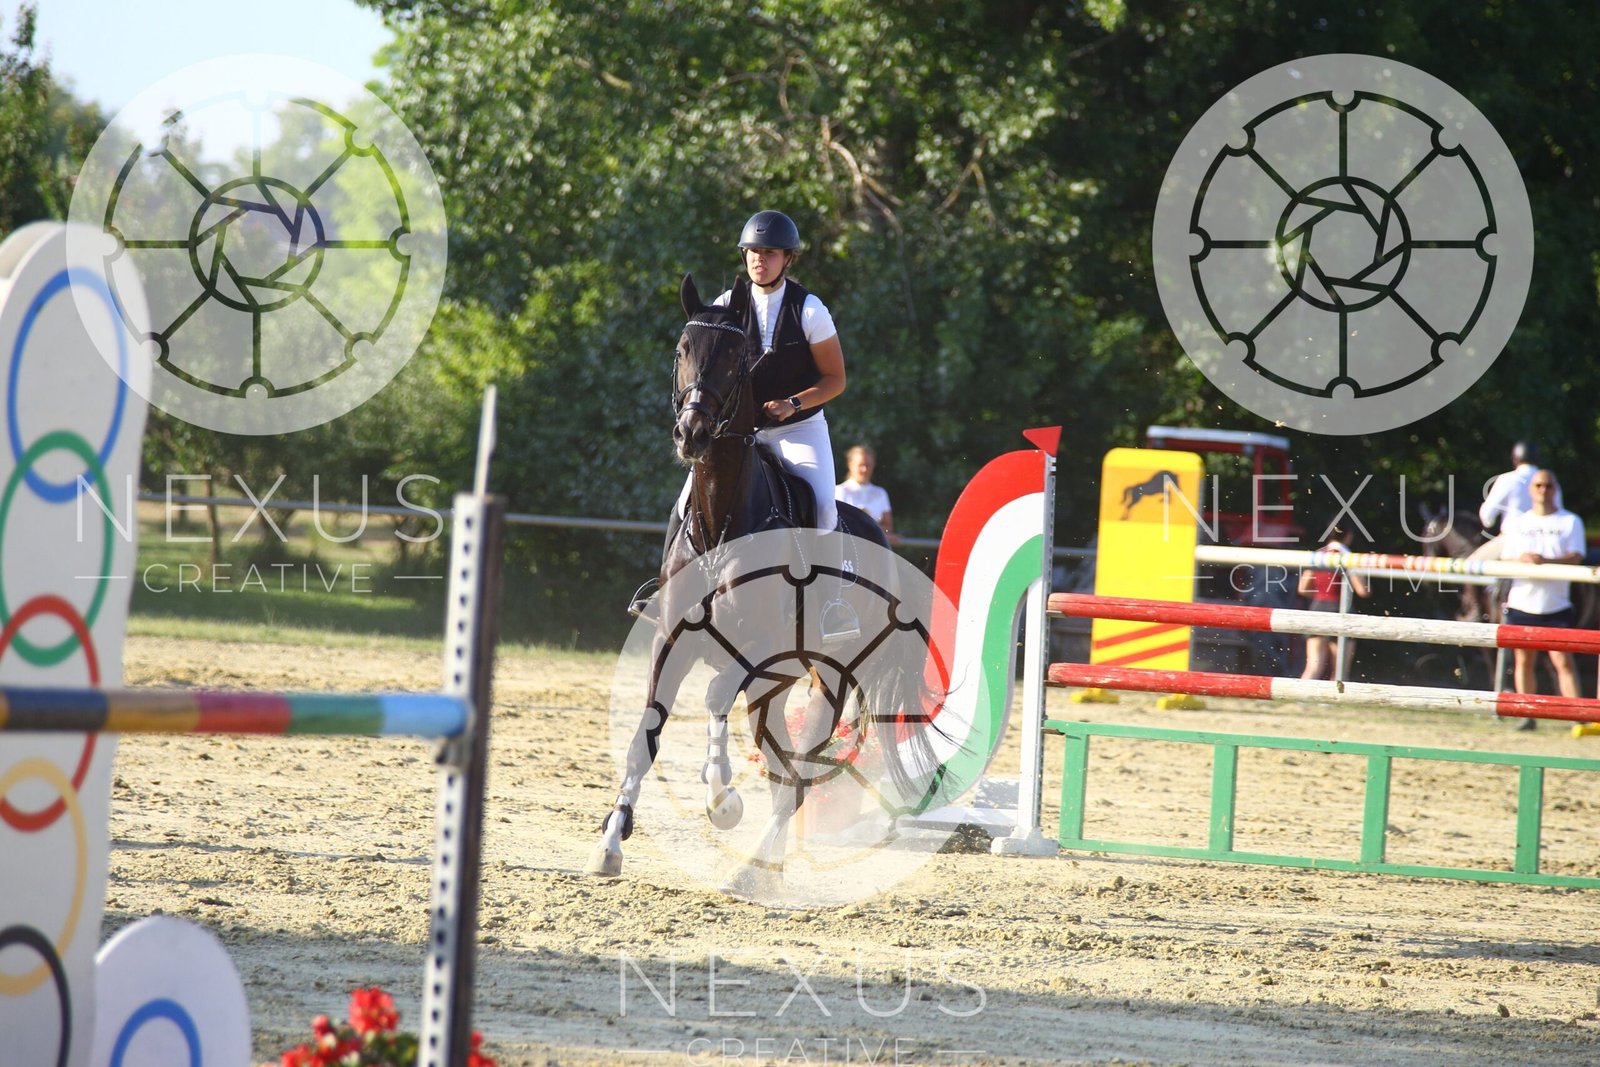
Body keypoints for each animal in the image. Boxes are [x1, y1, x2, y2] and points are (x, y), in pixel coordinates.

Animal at [585, 274, 940, 896]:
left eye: (737, 358)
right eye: (682, 349)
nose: (693, 433)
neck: (722, 520)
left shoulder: (756, 654)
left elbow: (712, 697)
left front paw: (723, 800)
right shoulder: (671, 643)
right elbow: (643, 736)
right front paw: (610, 843)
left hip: (824, 679)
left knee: (796, 771)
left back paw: (752, 869)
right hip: (778, 686)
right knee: (780, 762)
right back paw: (762, 868)